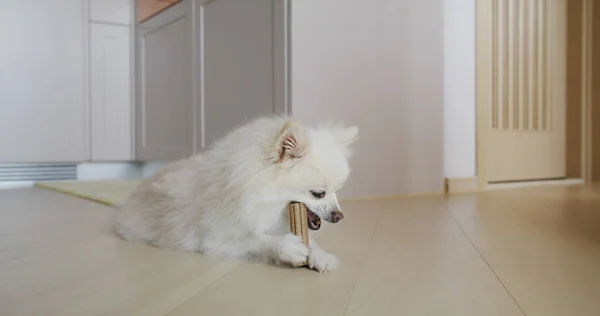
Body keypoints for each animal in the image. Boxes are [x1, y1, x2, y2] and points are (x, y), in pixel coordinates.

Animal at [115, 115, 358, 272]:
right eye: (318, 193)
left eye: (337, 192)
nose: (340, 216)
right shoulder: (214, 239)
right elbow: (254, 239)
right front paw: (286, 247)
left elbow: (310, 243)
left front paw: (321, 255)